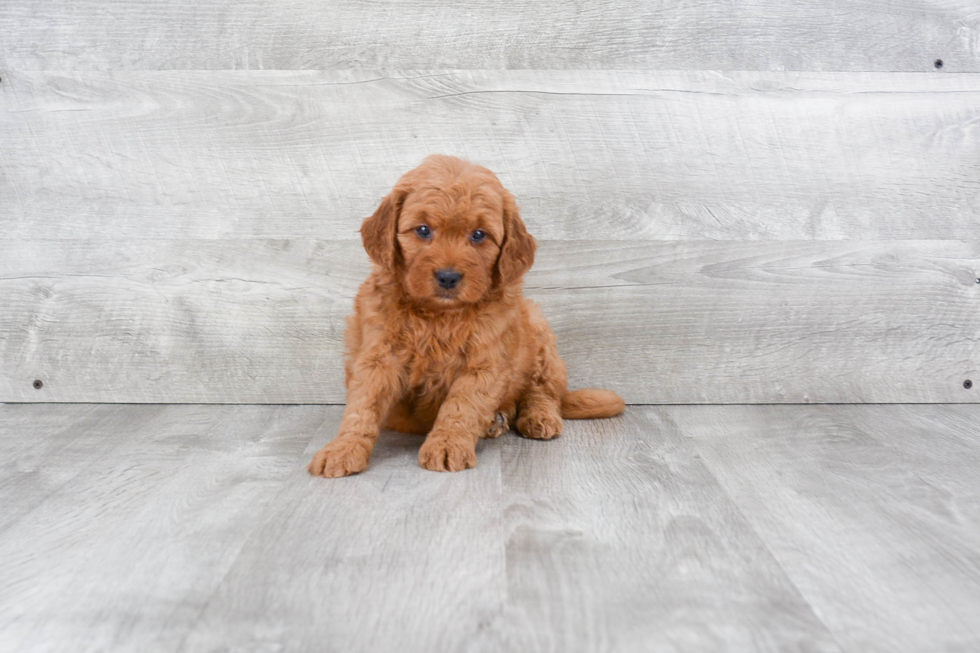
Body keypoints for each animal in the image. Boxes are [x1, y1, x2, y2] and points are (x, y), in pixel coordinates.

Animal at [310, 155, 624, 476]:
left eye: (478, 235)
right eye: (423, 230)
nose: (448, 277)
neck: (439, 316)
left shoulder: (483, 365)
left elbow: (462, 406)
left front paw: (448, 445)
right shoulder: (379, 356)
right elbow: (363, 406)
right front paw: (343, 448)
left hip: (540, 337)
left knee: (542, 390)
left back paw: (538, 417)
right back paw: (497, 420)